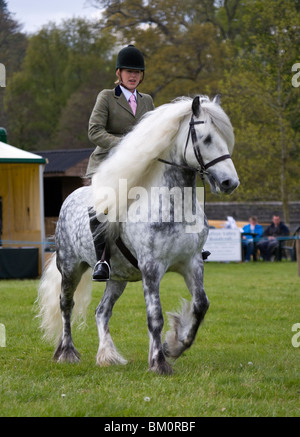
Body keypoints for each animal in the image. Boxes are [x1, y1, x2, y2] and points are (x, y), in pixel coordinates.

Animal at [37, 95, 239, 374]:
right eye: (206, 138)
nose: (230, 183)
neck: (175, 206)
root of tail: (70, 197)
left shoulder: (192, 262)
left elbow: (200, 305)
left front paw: (173, 345)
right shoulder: (151, 268)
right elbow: (155, 316)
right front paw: (159, 363)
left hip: (117, 277)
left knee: (102, 311)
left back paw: (107, 355)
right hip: (70, 267)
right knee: (66, 305)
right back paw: (67, 352)